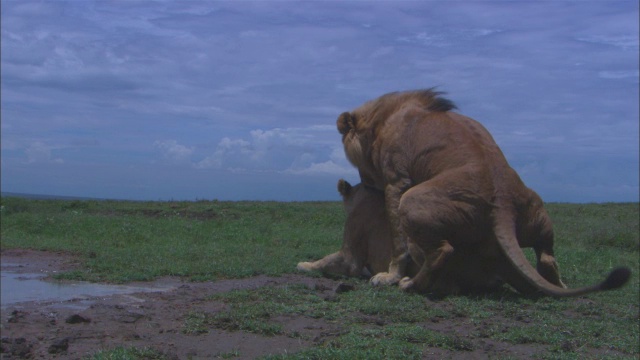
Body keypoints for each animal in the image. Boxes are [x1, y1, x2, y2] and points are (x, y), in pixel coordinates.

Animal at [340, 88, 632, 296]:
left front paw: (390, 277)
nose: (364, 183)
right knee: (548, 256)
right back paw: (560, 286)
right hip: (537, 210)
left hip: (412, 199)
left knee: (442, 250)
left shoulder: (396, 181)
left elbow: (398, 241)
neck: (383, 119)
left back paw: (410, 284)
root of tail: (503, 205)